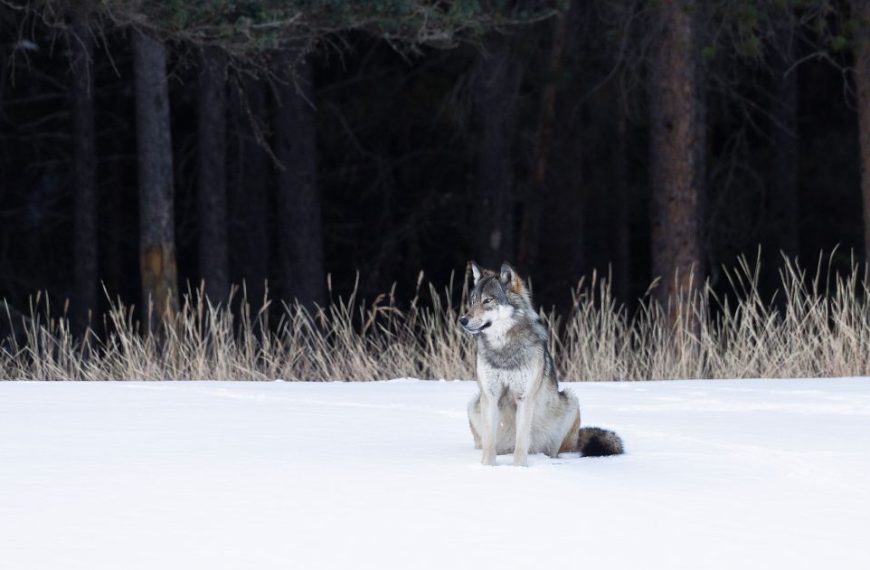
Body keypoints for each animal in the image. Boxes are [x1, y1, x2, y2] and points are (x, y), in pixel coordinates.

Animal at [459, 261, 623, 466]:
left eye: (488, 300)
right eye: (473, 301)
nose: (462, 320)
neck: (504, 348)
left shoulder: (524, 397)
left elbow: (522, 443)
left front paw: (518, 469)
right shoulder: (490, 395)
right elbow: (490, 445)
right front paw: (487, 468)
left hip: (570, 401)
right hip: (474, 404)